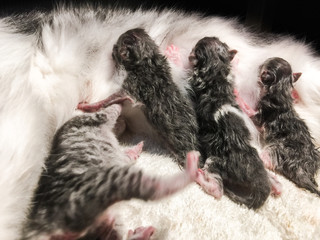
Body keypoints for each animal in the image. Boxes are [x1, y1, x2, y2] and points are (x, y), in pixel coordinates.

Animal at [20, 103, 198, 240]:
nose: (124, 123)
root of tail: (42, 224)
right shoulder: (95, 118)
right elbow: (110, 111)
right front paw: (118, 104)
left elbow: (125, 156)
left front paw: (132, 152)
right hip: (103, 185)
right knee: (153, 188)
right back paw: (190, 169)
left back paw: (134, 234)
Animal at [255, 57, 320, 196]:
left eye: (264, 64)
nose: (259, 65)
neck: (282, 88)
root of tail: (300, 168)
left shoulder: (261, 113)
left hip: (275, 150)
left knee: (266, 160)